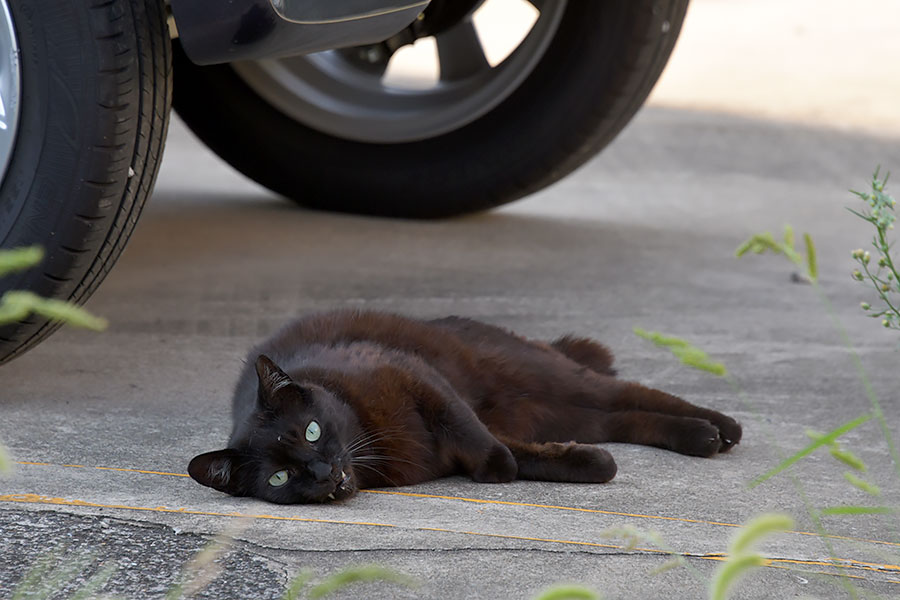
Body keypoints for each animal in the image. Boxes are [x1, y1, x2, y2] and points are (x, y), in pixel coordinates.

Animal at [188, 312, 740, 504]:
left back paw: (723, 427)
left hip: (545, 377)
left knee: (633, 393)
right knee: (624, 416)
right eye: (280, 478)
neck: (372, 449)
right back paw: (699, 437)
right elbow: (526, 456)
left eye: (311, 432)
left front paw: (497, 467)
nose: (323, 473)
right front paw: (589, 463)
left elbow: (470, 431)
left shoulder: (414, 375)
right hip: (564, 411)